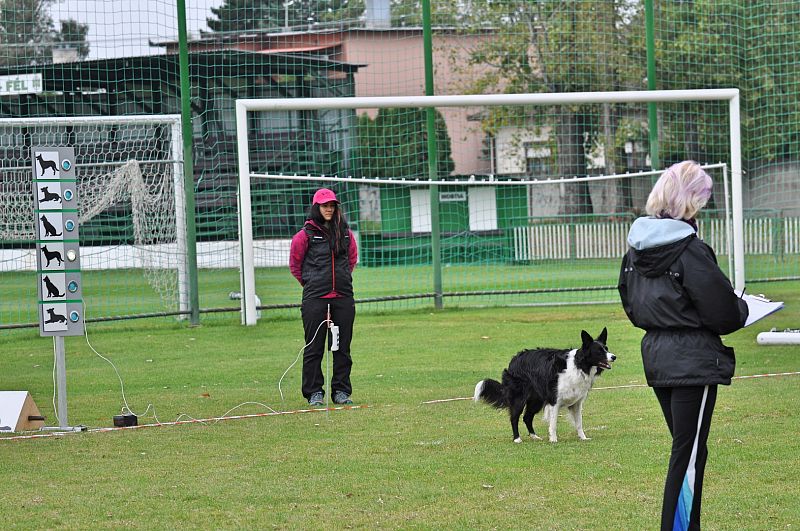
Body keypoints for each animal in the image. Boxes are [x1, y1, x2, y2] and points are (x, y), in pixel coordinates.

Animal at [472, 328, 616, 444]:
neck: (578, 365)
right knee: (514, 417)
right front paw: (553, 439)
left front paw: (583, 438)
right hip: (519, 398)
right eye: (599, 351)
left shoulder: (577, 403)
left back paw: (534, 436)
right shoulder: (554, 400)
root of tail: (514, 359)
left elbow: (579, 423)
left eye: (606, 348)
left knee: (527, 417)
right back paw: (517, 439)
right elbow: (553, 423)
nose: (614, 357)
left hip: (536, 400)